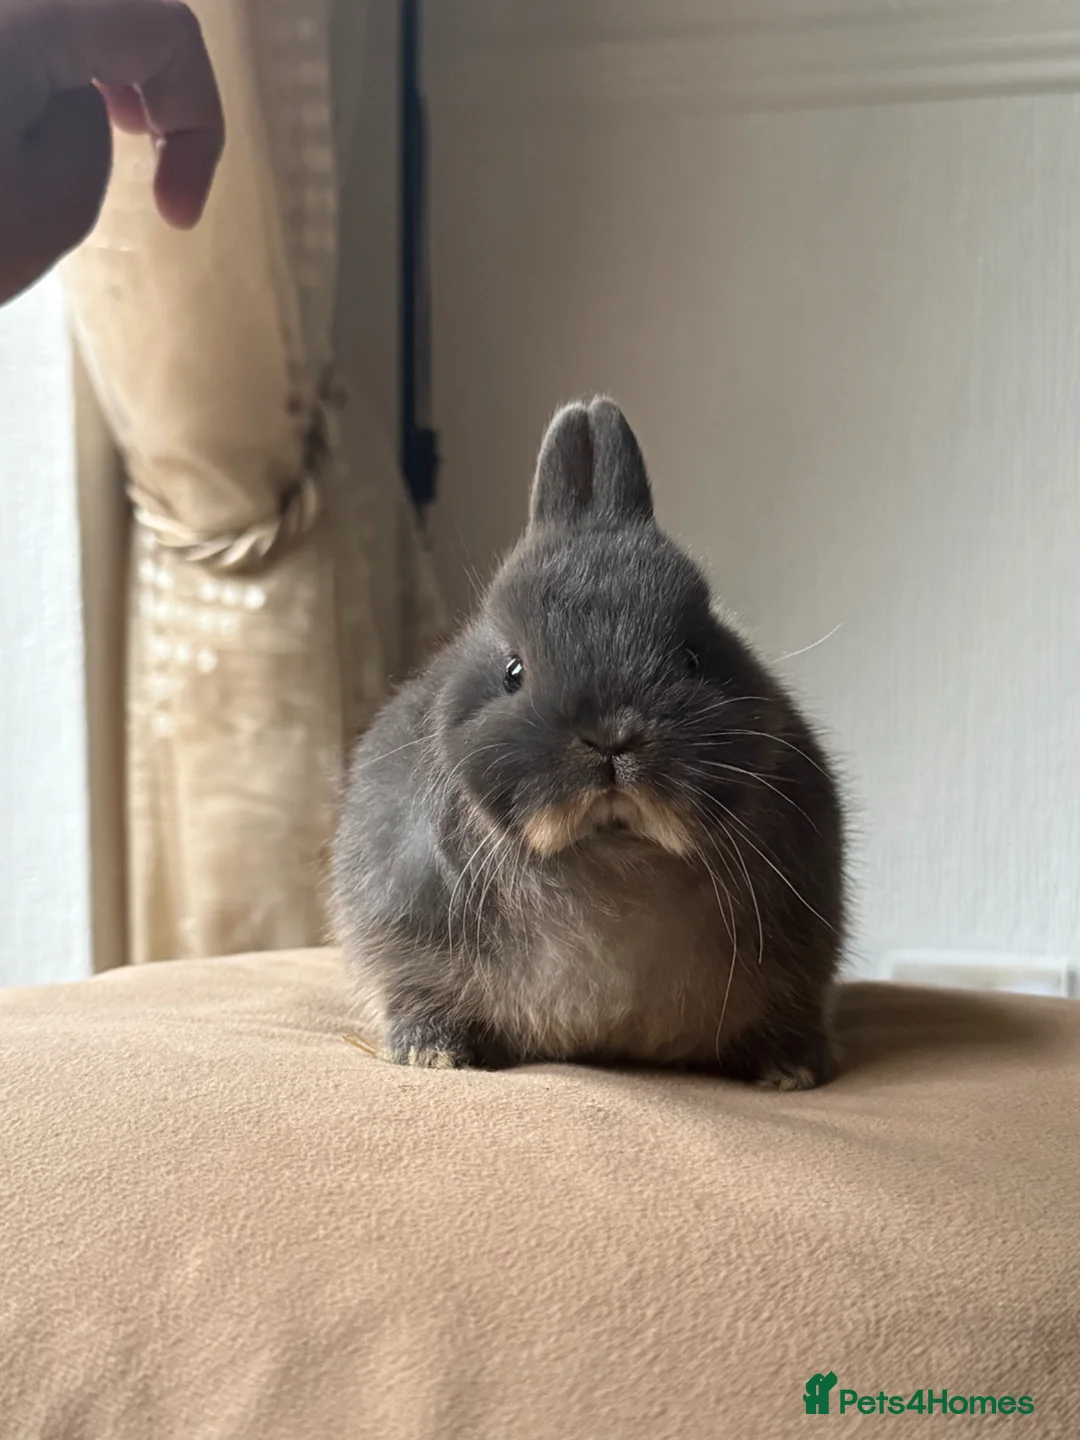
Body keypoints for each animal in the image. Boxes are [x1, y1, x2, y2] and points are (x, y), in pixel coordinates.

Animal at [331, 397, 845, 1088]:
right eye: (513, 671)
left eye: (693, 656)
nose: (610, 736)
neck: (611, 852)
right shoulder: (404, 934)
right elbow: (417, 988)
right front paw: (433, 1053)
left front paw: (792, 1071)